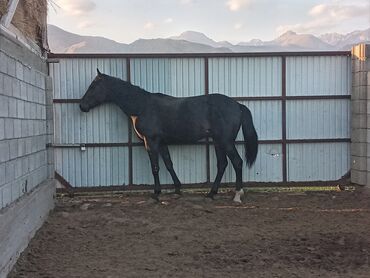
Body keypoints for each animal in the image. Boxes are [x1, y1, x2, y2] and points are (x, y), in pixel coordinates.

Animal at [79, 69, 258, 202]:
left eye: (93, 86)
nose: (82, 106)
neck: (142, 106)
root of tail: (238, 105)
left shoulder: (150, 142)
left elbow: (155, 167)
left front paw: (156, 193)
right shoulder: (162, 142)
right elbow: (168, 164)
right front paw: (177, 189)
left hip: (226, 141)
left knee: (237, 162)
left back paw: (237, 195)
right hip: (217, 141)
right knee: (222, 164)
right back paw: (211, 193)